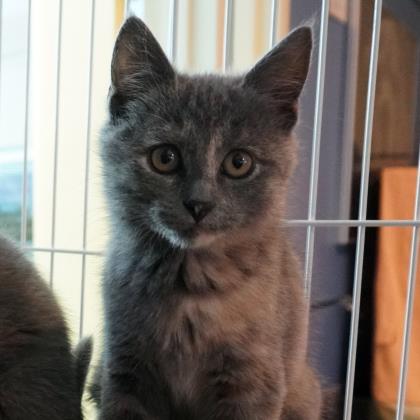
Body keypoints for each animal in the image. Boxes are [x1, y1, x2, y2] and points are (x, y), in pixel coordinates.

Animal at [94, 16, 321, 420]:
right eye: (164, 157)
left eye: (239, 162)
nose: (198, 203)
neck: (191, 285)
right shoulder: (122, 369)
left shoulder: (254, 381)